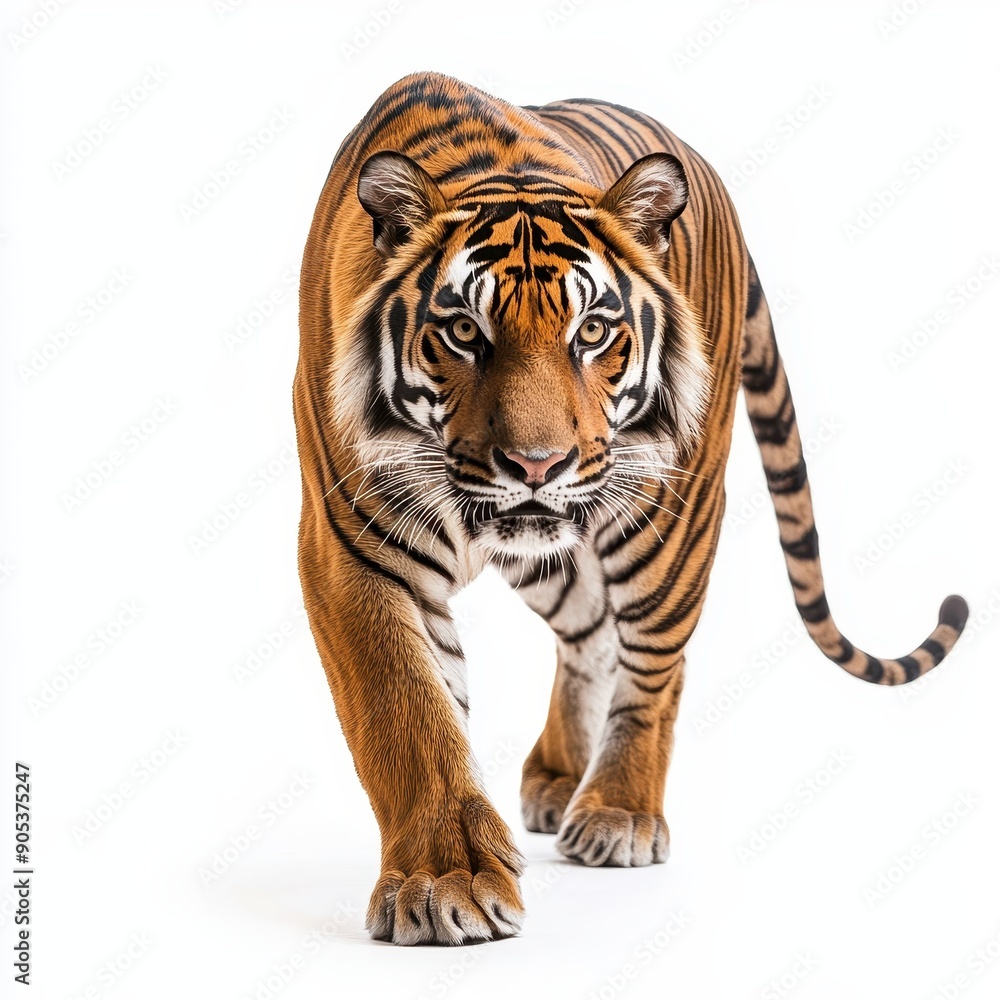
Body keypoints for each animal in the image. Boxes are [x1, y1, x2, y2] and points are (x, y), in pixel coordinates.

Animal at [293, 70, 968, 946]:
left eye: (592, 331)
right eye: (464, 331)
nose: (537, 465)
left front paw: (447, 884)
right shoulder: (351, 545)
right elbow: (409, 713)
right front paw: (448, 879)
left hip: (667, 512)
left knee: (654, 661)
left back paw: (618, 812)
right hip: (554, 556)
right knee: (587, 632)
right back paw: (558, 776)